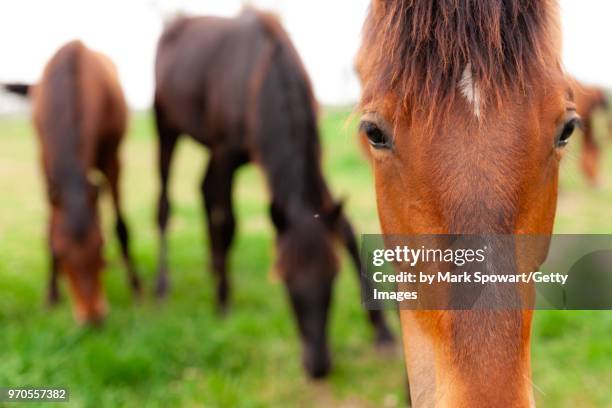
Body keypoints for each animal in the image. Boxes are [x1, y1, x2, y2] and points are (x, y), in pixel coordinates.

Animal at [3, 39, 140, 324]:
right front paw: (52, 295)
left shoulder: (113, 159)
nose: (93, 317)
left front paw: (136, 287)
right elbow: (49, 226)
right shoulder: (45, 160)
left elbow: (121, 225)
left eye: (100, 246)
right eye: (61, 252)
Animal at [152, 8, 392, 380]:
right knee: (167, 203)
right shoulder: (225, 154)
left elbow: (347, 230)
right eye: (284, 279)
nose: (318, 366)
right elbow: (228, 223)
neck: (257, 73)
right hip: (166, 128)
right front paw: (223, 301)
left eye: (333, 275)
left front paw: (381, 329)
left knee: (204, 191)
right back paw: (164, 284)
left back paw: (211, 266)